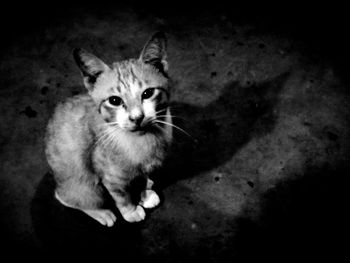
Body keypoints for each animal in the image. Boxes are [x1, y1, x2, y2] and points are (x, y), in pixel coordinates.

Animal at [44, 32, 173, 227]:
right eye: (114, 101)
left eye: (148, 93)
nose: (137, 118)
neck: (142, 141)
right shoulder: (109, 176)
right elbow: (121, 196)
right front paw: (131, 211)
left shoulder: (142, 165)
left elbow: (141, 177)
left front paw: (144, 193)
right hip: (83, 185)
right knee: (67, 198)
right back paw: (102, 213)